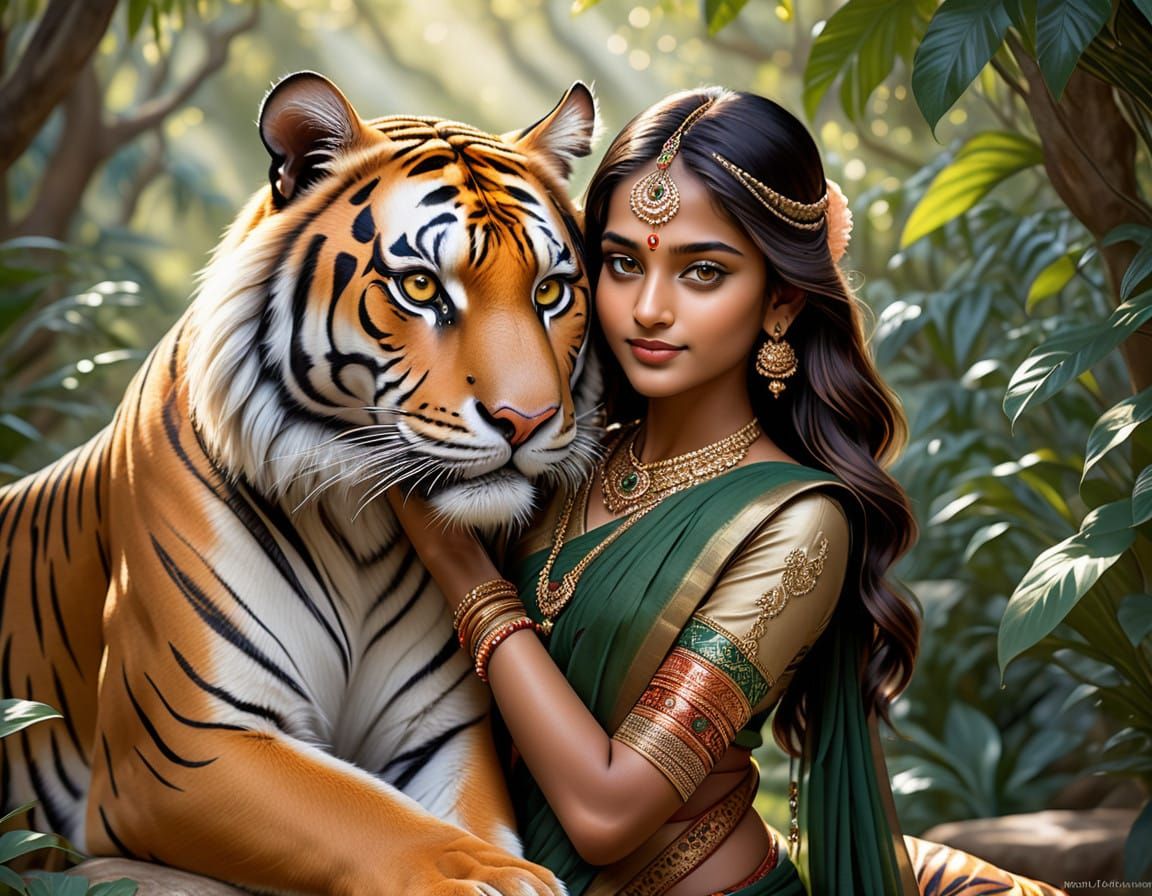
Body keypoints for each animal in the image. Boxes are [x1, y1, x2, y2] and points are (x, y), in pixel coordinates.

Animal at [0, 71, 600, 895]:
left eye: (550, 291)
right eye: (420, 287)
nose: (527, 419)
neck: (360, 524)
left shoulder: (443, 729)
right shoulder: (184, 744)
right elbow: (373, 819)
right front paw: (497, 877)